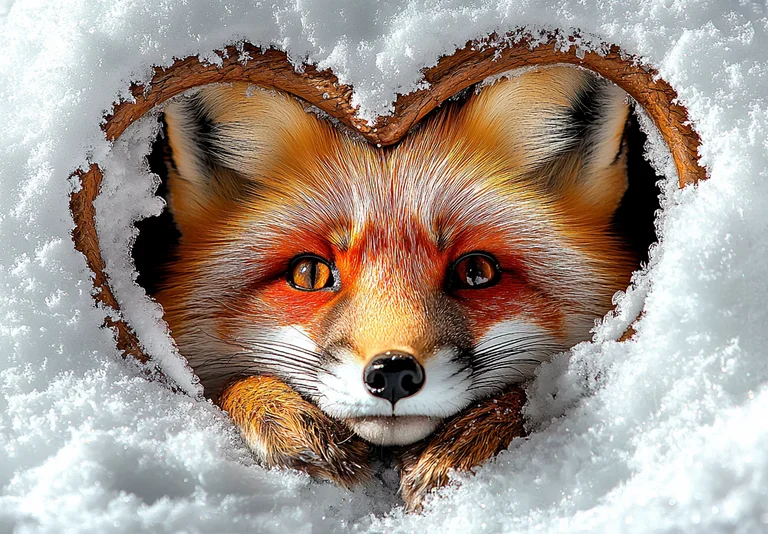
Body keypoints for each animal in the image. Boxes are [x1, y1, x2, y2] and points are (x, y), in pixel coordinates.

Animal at [155, 65, 637, 509]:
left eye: (476, 272)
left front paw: (470, 437)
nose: (391, 373)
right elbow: (225, 390)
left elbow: (531, 394)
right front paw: (280, 412)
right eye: (308, 274)